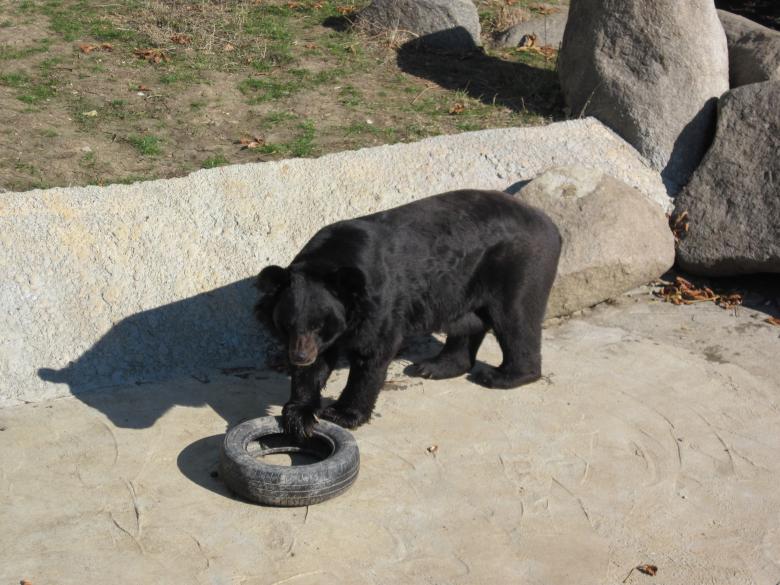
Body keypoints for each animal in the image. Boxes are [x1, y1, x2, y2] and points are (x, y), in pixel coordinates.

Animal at [255, 189, 561, 441]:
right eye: (287, 325)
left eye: (320, 325)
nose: (300, 356)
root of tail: (549, 223)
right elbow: (314, 370)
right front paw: (300, 416)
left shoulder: (379, 301)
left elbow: (373, 353)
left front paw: (343, 413)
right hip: (462, 284)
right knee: (468, 325)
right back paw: (434, 366)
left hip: (519, 266)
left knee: (516, 320)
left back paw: (501, 376)